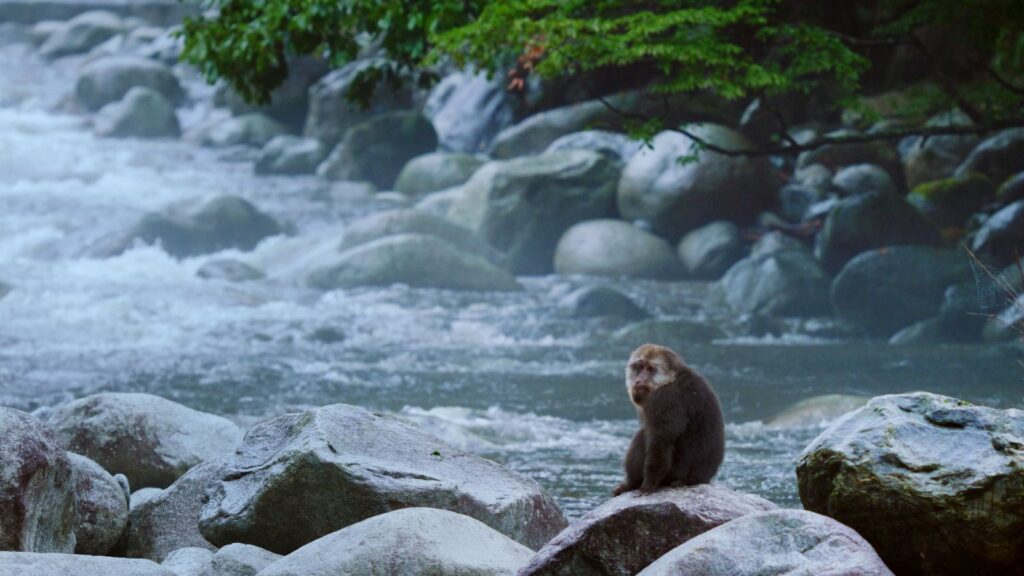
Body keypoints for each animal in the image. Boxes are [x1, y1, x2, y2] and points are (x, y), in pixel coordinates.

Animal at [612, 343, 725, 496]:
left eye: (650, 369)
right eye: (638, 367)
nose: (638, 380)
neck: (670, 380)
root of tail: (700, 480)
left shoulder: (666, 400)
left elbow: (661, 442)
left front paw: (649, 484)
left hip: (675, 474)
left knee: (643, 436)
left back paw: (632, 483)